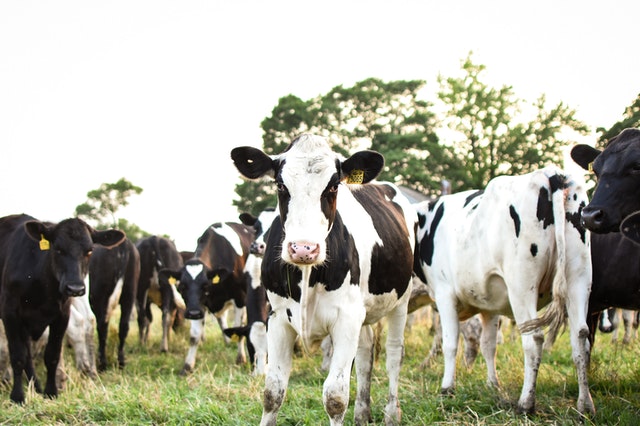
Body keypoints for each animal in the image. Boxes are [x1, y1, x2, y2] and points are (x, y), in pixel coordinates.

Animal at [0, 214, 124, 403]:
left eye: (89, 251)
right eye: (58, 249)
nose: (75, 288)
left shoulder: (61, 316)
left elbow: (52, 355)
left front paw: (51, 392)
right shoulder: (10, 313)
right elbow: (18, 355)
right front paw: (18, 396)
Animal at [88, 238, 140, 371]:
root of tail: (125, 243)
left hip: (99, 296)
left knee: (102, 326)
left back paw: (102, 363)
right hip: (130, 293)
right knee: (124, 326)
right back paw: (121, 362)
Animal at [161, 221, 255, 375]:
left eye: (205, 285)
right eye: (181, 287)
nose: (193, 313)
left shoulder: (240, 297)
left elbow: (239, 328)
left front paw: (241, 359)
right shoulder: (200, 305)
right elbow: (194, 336)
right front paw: (187, 366)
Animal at [231, 133, 417, 426]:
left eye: (333, 186)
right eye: (281, 185)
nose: (303, 249)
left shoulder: (347, 318)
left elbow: (335, 396)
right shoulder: (277, 317)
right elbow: (272, 391)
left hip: (401, 300)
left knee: (394, 355)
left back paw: (391, 413)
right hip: (364, 312)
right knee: (365, 353)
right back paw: (362, 413)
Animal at [413, 165, 595, 416]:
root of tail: (550, 174)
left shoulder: (444, 293)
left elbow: (450, 343)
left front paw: (447, 387)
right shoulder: (489, 305)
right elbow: (488, 345)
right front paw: (493, 384)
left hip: (522, 285)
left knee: (533, 340)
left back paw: (526, 403)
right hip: (579, 277)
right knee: (580, 339)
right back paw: (585, 404)